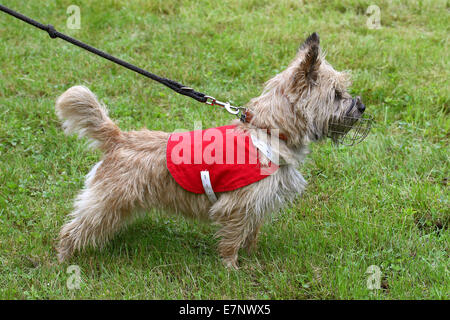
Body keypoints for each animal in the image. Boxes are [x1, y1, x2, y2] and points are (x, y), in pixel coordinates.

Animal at [56, 33, 366, 268]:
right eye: (337, 95)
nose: (362, 106)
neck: (267, 130)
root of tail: (119, 139)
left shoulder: (258, 202)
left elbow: (251, 232)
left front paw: (253, 257)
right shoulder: (238, 205)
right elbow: (232, 237)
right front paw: (231, 267)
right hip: (106, 200)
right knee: (74, 228)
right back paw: (62, 259)